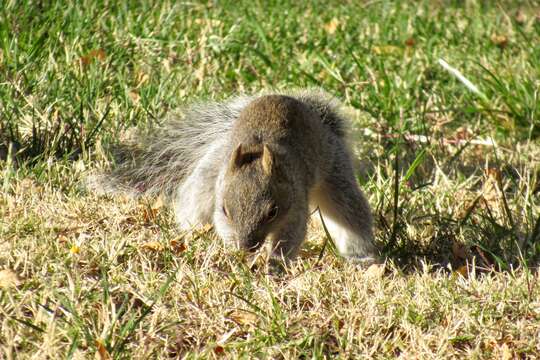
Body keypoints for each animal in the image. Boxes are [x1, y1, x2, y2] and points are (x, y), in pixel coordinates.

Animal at [92, 90, 380, 264]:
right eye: (225, 209)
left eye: (272, 211)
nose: (246, 247)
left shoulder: (295, 202)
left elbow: (291, 235)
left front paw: (275, 265)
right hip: (209, 174)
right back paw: (190, 233)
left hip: (335, 172)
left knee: (349, 212)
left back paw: (360, 257)